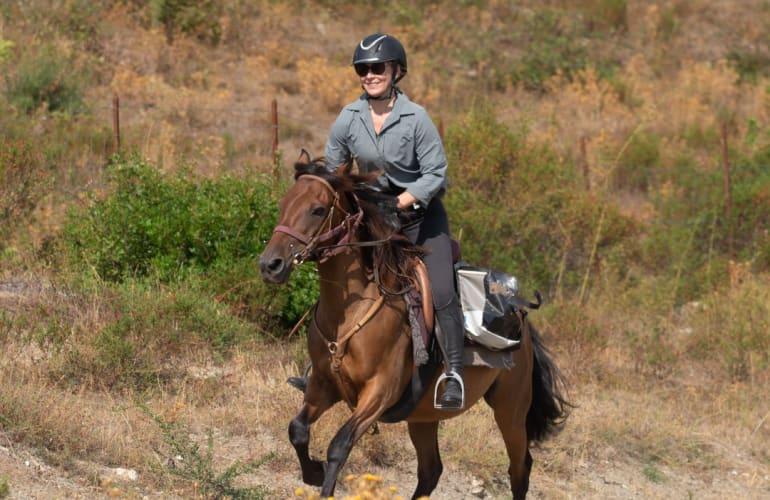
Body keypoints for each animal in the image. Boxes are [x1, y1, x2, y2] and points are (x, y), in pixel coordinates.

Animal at [260, 153, 568, 500]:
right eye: (284, 203)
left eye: (318, 209)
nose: (270, 265)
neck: (350, 315)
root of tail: (521, 317)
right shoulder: (322, 386)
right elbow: (297, 430)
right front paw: (313, 472)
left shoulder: (379, 393)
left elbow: (339, 446)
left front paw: (322, 474)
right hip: (424, 416)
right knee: (431, 470)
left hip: (510, 408)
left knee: (519, 469)